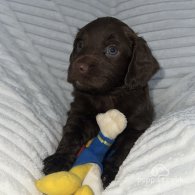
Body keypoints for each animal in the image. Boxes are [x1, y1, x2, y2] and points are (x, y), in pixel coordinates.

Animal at [43, 17, 159, 187]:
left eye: (112, 50)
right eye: (80, 44)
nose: (79, 66)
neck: (107, 94)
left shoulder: (136, 126)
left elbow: (122, 149)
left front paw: (108, 172)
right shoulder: (79, 113)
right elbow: (70, 135)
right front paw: (59, 160)